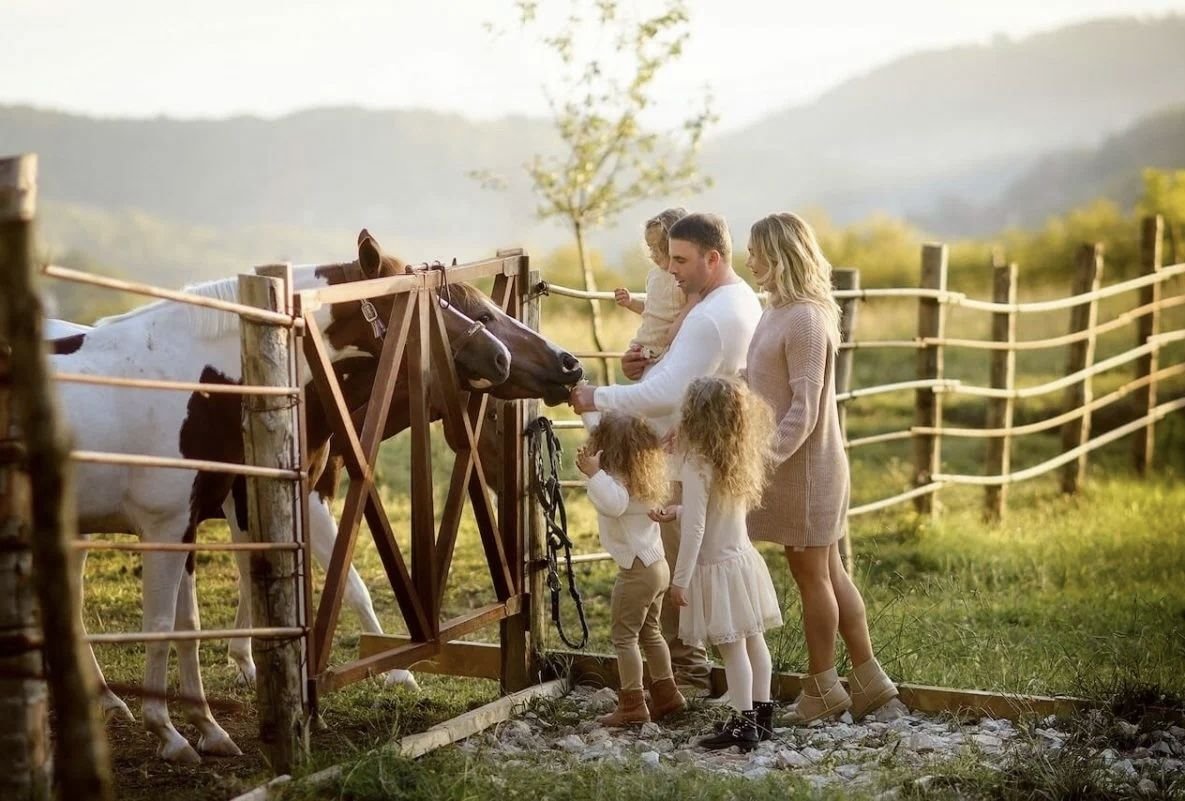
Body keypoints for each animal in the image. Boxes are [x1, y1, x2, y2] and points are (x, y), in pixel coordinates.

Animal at [48, 226, 511, 763]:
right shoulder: (167, 525)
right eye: (416, 301)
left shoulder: (188, 524)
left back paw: (103, 700)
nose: (499, 356)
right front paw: (169, 734)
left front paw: (208, 729)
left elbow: (190, 624)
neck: (194, 381)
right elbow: (164, 625)